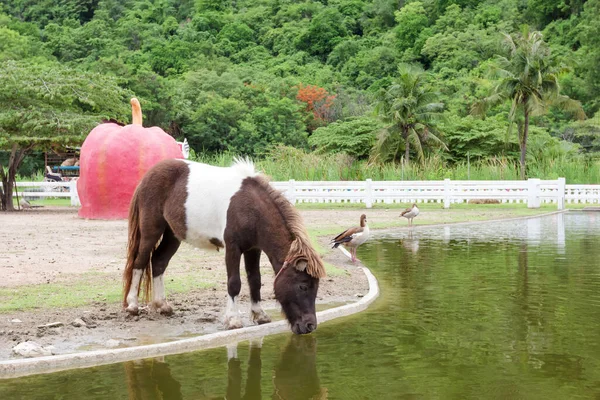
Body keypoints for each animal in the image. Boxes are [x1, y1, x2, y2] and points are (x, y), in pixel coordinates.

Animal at [122, 157, 326, 334]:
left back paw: (162, 305)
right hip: (151, 231)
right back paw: (132, 305)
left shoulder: (253, 249)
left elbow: (255, 280)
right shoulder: (233, 247)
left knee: (158, 262)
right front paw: (233, 320)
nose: (310, 326)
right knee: (140, 262)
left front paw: (259, 315)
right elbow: (234, 283)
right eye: (302, 286)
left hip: (173, 235)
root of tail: (148, 176)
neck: (251, 208)